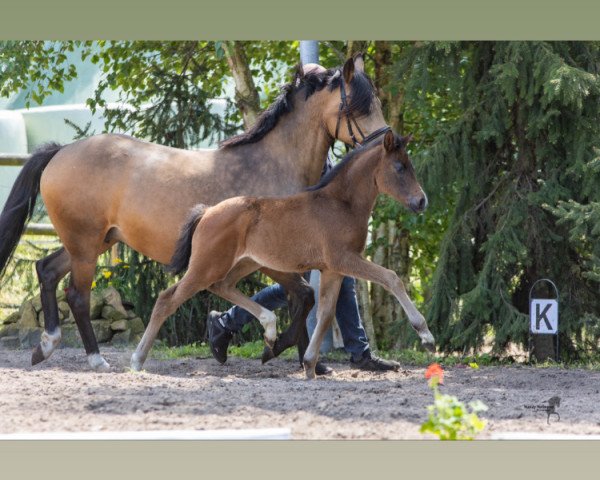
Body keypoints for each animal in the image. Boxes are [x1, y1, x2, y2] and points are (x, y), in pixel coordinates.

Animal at [0, 55, 390, 372]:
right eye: (358, 107)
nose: (387, 143)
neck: (273, 166)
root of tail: (61, 151)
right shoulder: (271, 259)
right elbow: (303, 297)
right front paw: (275, 347)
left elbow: (304, 299)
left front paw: (298, 357)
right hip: (85, 246)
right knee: (77, 295)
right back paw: (97, 359)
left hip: (93, 242)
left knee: (47, 270)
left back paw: (46, 347)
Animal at [131, 131, 434, 378]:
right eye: (399, 167)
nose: (422, 201)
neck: (340, 204)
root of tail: (207, 211)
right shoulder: (344, 259)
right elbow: (391, 278)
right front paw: (426, 335)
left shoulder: (333, 269)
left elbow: (325, 314)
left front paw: (310, 365)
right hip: (206, 266)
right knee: (167, 299)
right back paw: (137, 359)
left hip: (243, 263)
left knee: (223, 286)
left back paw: (269, 331)